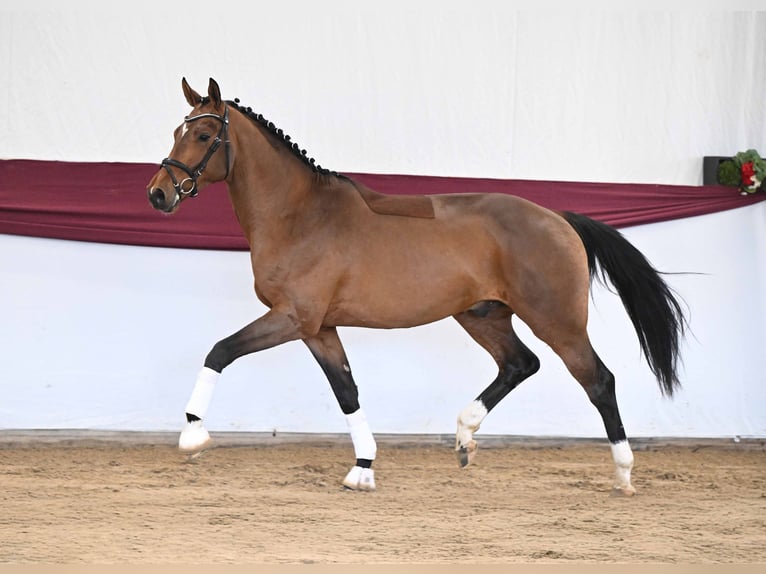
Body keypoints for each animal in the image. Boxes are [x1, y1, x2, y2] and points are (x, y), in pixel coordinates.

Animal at [146, 77, 685, 496]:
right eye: (176, 131)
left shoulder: (292, 316)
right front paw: (363, 469)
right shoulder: (319, 328)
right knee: (520, 363)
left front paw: (192, 435)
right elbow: (346, 390)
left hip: (557, 320)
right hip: (483, 314)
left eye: (201, 133)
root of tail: (559, 217)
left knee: (598, 380)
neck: (300, 215)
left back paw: (623, 475)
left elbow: (220, 350)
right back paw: (465, 438)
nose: (158, 194)